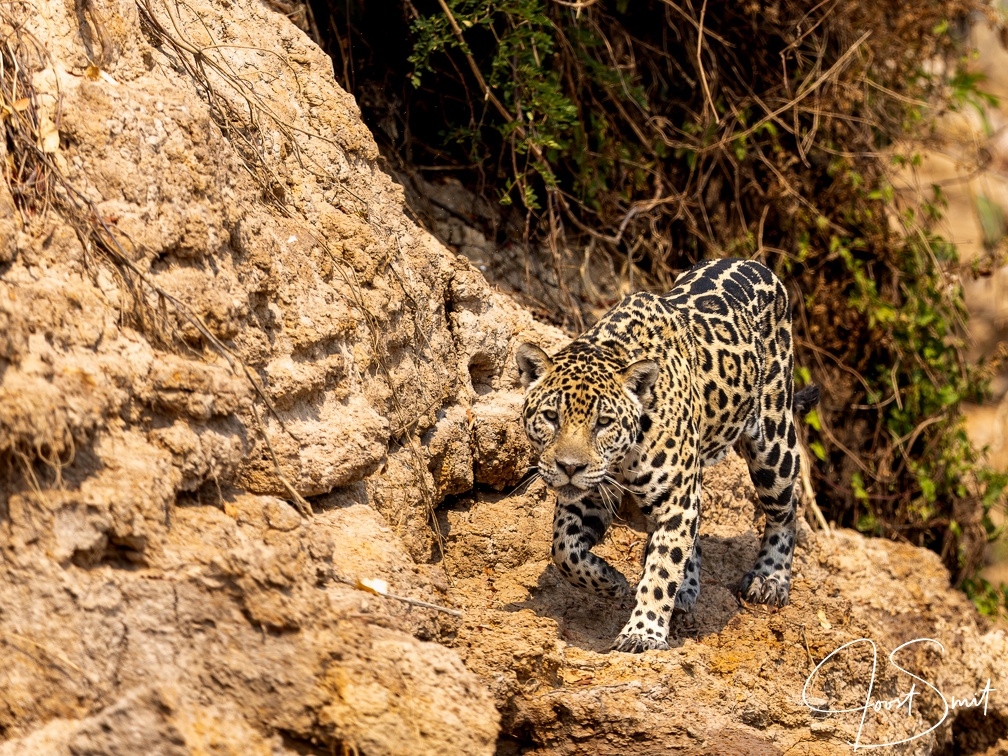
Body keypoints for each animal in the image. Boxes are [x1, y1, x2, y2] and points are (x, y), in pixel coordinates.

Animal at [516, 258, 820, 653]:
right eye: (551, 417)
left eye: (603, 422)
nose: (569, 467)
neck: (622, 457)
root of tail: (754, 263)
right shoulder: (587, 498)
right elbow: (564, 549)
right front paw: (611, 581)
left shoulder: (675, 500)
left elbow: (662, 569)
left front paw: (643, 632)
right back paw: (687, 587)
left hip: (773, 443)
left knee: (786, 510)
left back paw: (770, 578)